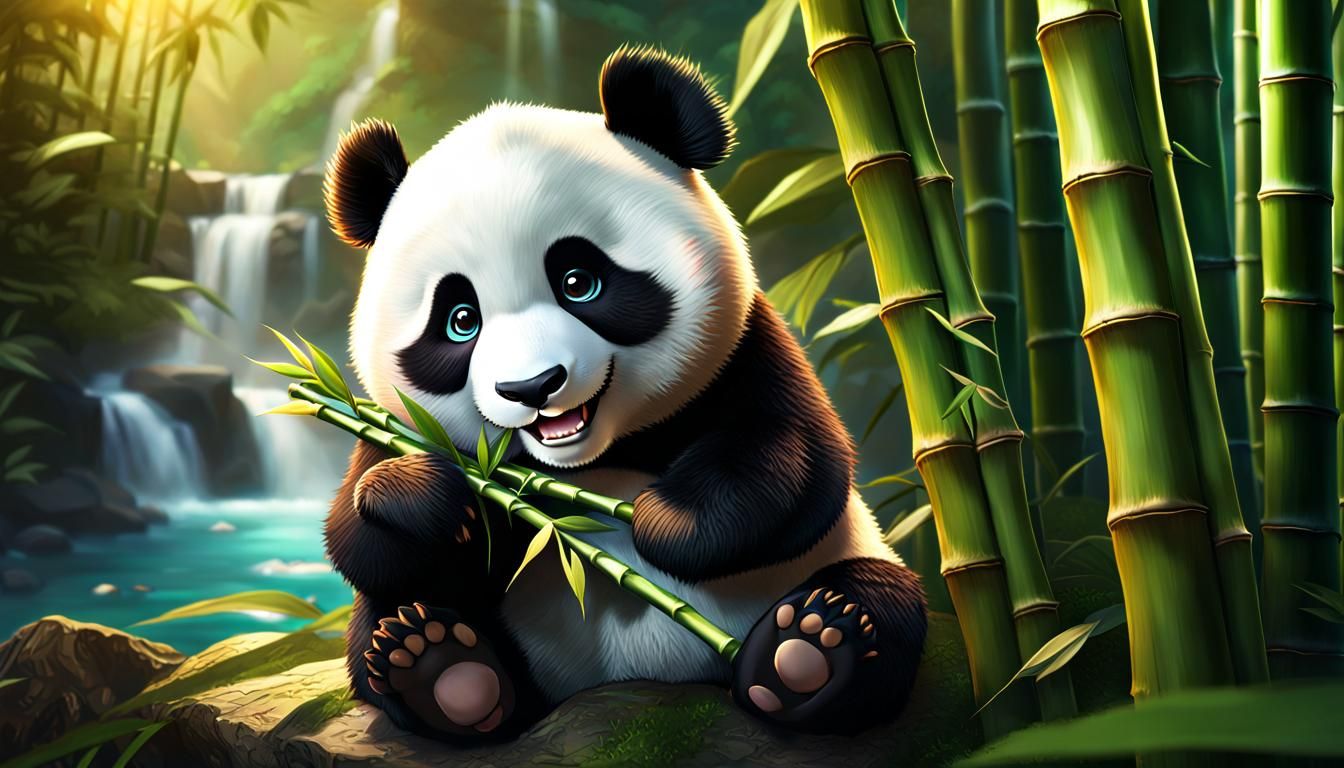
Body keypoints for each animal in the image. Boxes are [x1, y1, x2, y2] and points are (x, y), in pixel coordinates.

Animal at [321, 45, 928, 743]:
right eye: (460, 320)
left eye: (578, 281)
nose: (532, 386)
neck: (590, 462)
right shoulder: (392, 425)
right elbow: (363, 538)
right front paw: (432, 501)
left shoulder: (747, 351)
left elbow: (796, 463)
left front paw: (662, 519)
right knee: (389, 623)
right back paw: (441, 667)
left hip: (850, 560)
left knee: (879, 604)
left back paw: (806, 651)